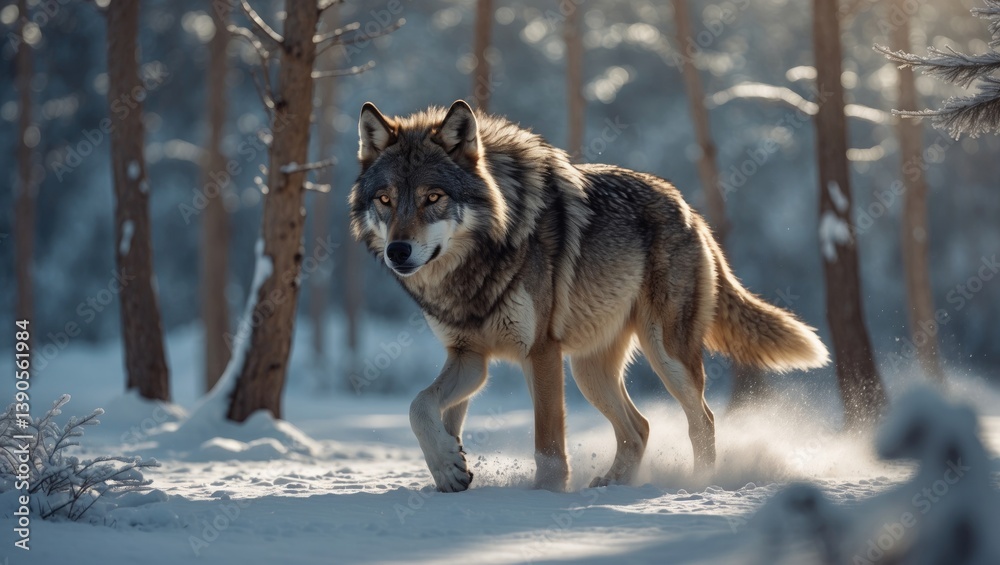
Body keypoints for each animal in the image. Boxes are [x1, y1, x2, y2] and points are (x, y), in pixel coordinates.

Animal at [350, 100, 829, 493]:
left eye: (433, 197)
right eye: (385, 200)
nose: (398, 251)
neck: (482, 260)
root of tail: (689, 209)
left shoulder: (540, 352)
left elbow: (547, 444)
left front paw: (543, 496)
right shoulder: (470, 356)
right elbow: (422, 407)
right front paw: (449, 470)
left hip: (665, 355)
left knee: (703, 421)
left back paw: (699, 486)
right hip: (588, 370)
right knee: (640, 428)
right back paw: (613, 485)